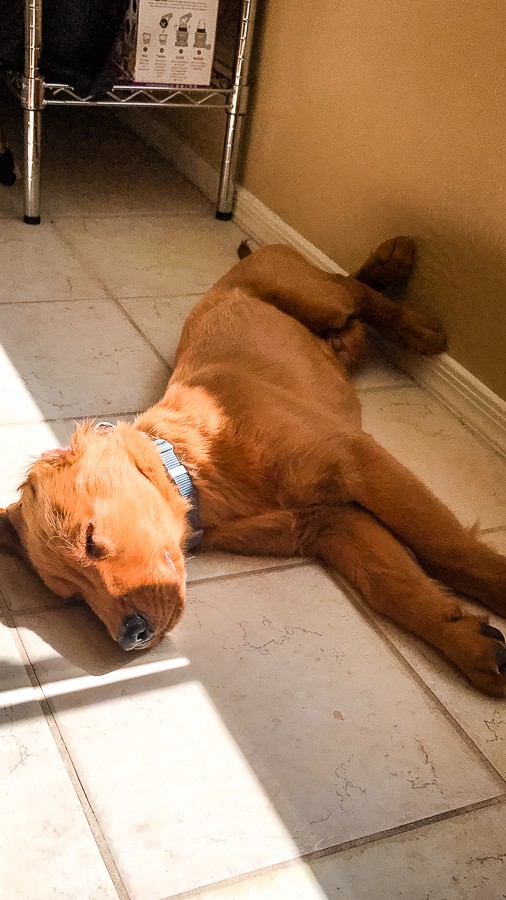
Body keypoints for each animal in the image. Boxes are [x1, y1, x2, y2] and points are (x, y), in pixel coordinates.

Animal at [0, 241, 506, 696]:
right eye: (73, 597)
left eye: (91, 541)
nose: (131, 637)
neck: (195, 469)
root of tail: (248, 257)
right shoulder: (328, 523)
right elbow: (394, 585)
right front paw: (470, 645)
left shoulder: (356, 460)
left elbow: (445, 545)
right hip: (338, 339)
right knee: (354, 321)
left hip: (311, 295)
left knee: (349, 287)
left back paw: (412, 310)